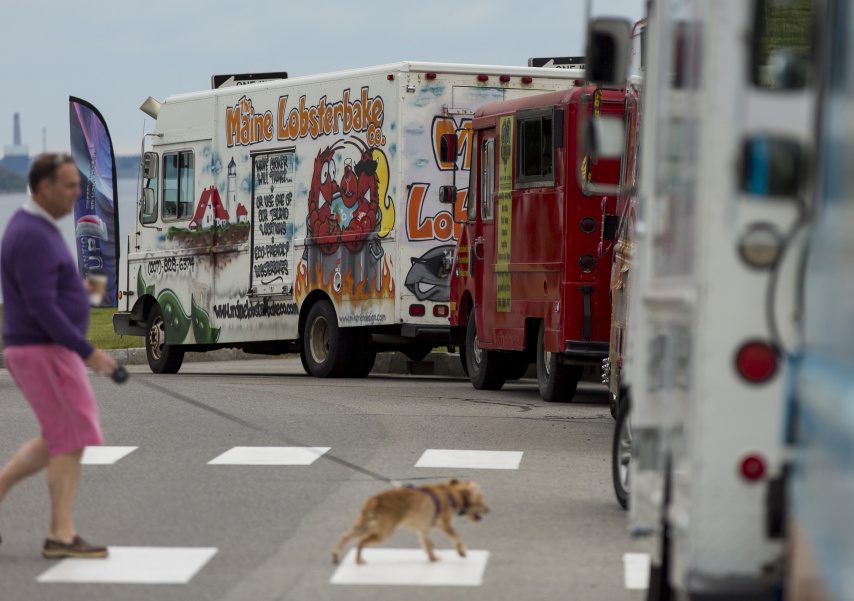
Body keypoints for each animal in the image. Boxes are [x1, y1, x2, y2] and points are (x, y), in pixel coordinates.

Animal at [336, 476, 492, 564]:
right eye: (481, 500)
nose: (488, 510)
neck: (450, 494)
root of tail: (375, 499)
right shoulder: (445, 524)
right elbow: (457, 536)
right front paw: (461, 552)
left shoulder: (424, 530)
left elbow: (428, 545)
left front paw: (433, 558)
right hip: (383, 532)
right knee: (361, 542)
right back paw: (359, 560)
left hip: (364, 524)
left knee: (346, 536)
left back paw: (336, 555)